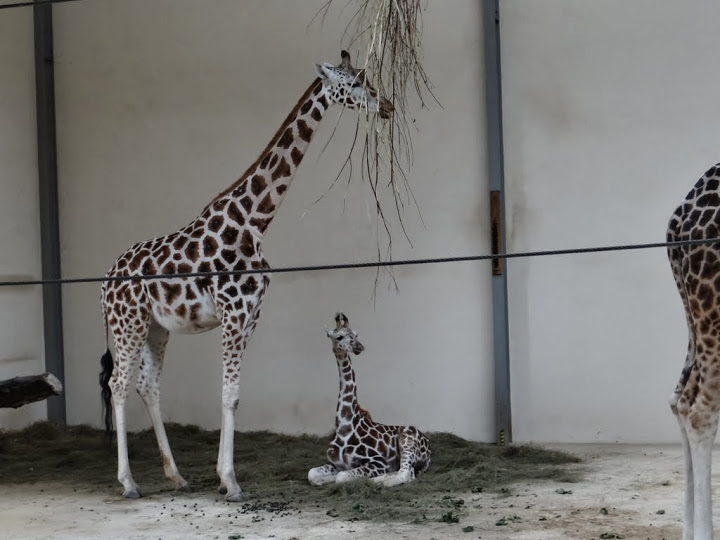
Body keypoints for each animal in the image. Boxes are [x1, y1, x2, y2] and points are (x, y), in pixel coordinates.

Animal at [97, 51, 394, 502]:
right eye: (357, 82)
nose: (388, 106)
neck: (254, 222)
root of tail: (104, 281)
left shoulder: (252, 315)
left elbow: (233, 395)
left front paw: (223, 478)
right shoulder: (233, 313)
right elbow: (230, 393)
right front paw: (232, 482)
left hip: (156, 326)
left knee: (147, 384)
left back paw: (176, 475)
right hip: (127, 323)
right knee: (118, 383)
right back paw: (129, 482)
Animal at [308, 313, 431, 487]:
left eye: (356, 334)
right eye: (339, 337)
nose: (359, 347)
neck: (345, 427)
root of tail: (429, 446)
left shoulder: (378, 462)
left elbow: (341, 477)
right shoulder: (335, 464)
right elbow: (313, 474)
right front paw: (326, 479)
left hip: (408, 440)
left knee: (405, 473)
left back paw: (377, 481)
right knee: (406, 472)